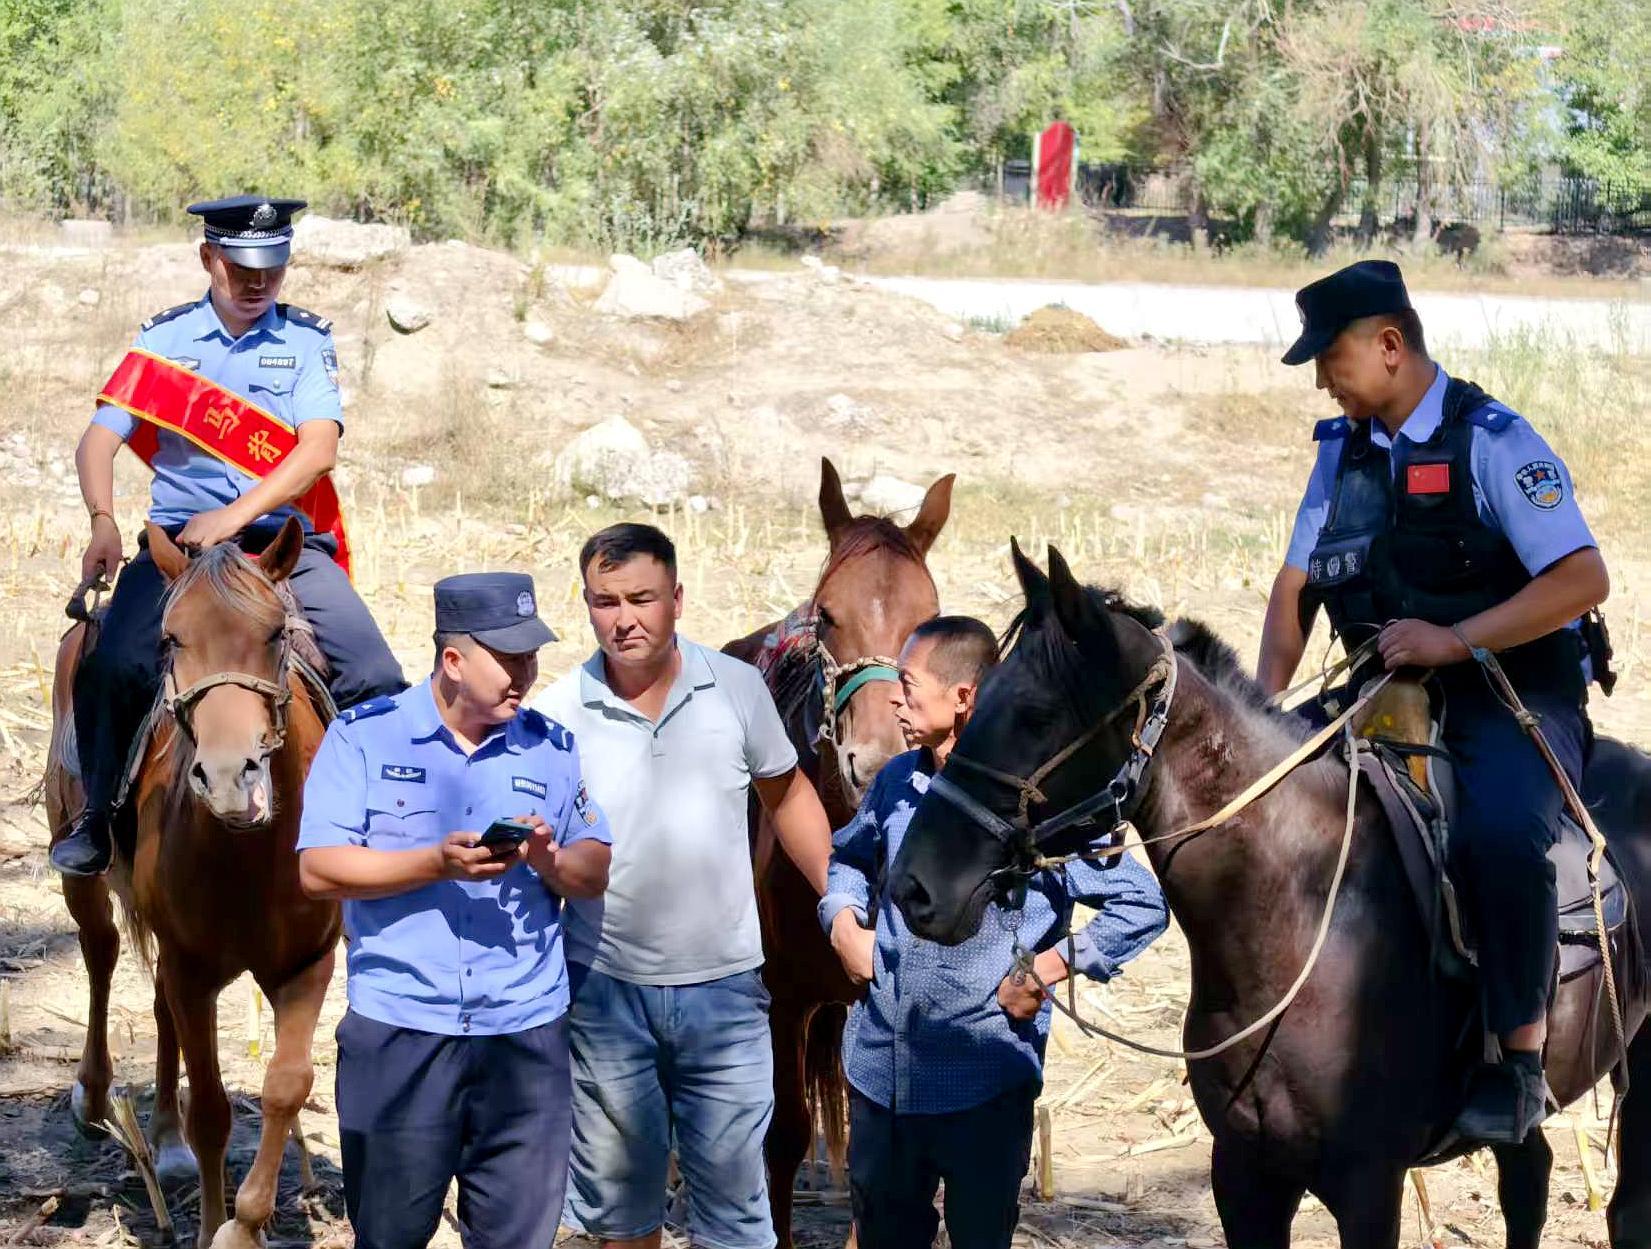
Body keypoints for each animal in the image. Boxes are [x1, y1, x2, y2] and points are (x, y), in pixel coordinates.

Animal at [44, 516, 340, 1249]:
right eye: (172, 638)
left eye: (276, 634)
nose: (231, 777)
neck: (251, 851)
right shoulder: (192, 964)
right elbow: (211, 1108)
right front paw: (214, 1228)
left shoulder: (306, 962)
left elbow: (286, 1085)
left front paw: (249, 1221)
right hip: (83, 870)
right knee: (100, 955)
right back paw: (95, 1093)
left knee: (157, 1008)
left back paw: (166, 1142)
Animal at [889, 540, 1651, 1249]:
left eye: (1036, 714)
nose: (912, 886)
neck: (1299, 907)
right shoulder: (1244, 1173)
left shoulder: (1368, 1183)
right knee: (1529, 1179)